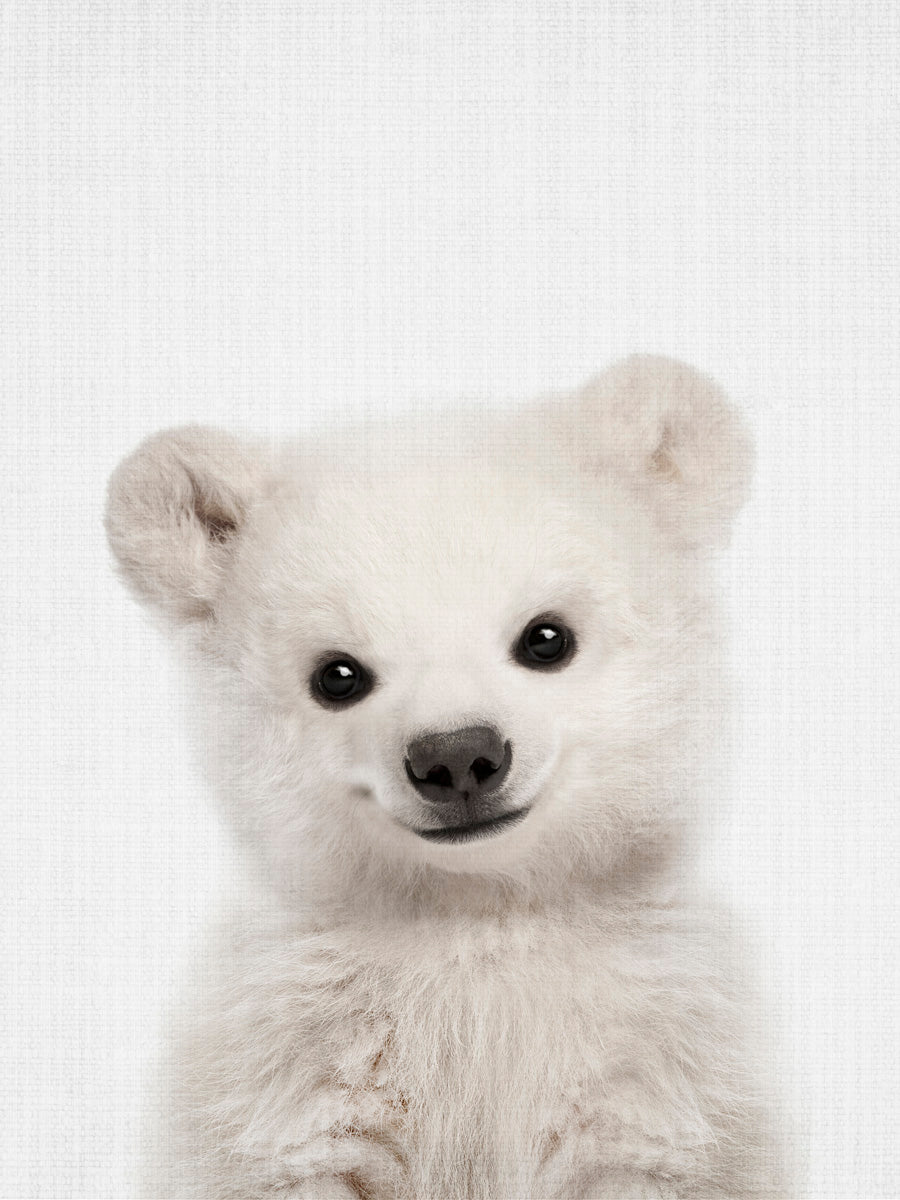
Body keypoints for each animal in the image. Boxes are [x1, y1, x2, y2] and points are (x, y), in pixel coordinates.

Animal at [105, 355, 780, 1199]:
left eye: (547, 637)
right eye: (337, 675)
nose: (457, 755)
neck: (474, 916)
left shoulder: (657, 1065)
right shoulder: (290, 1069)